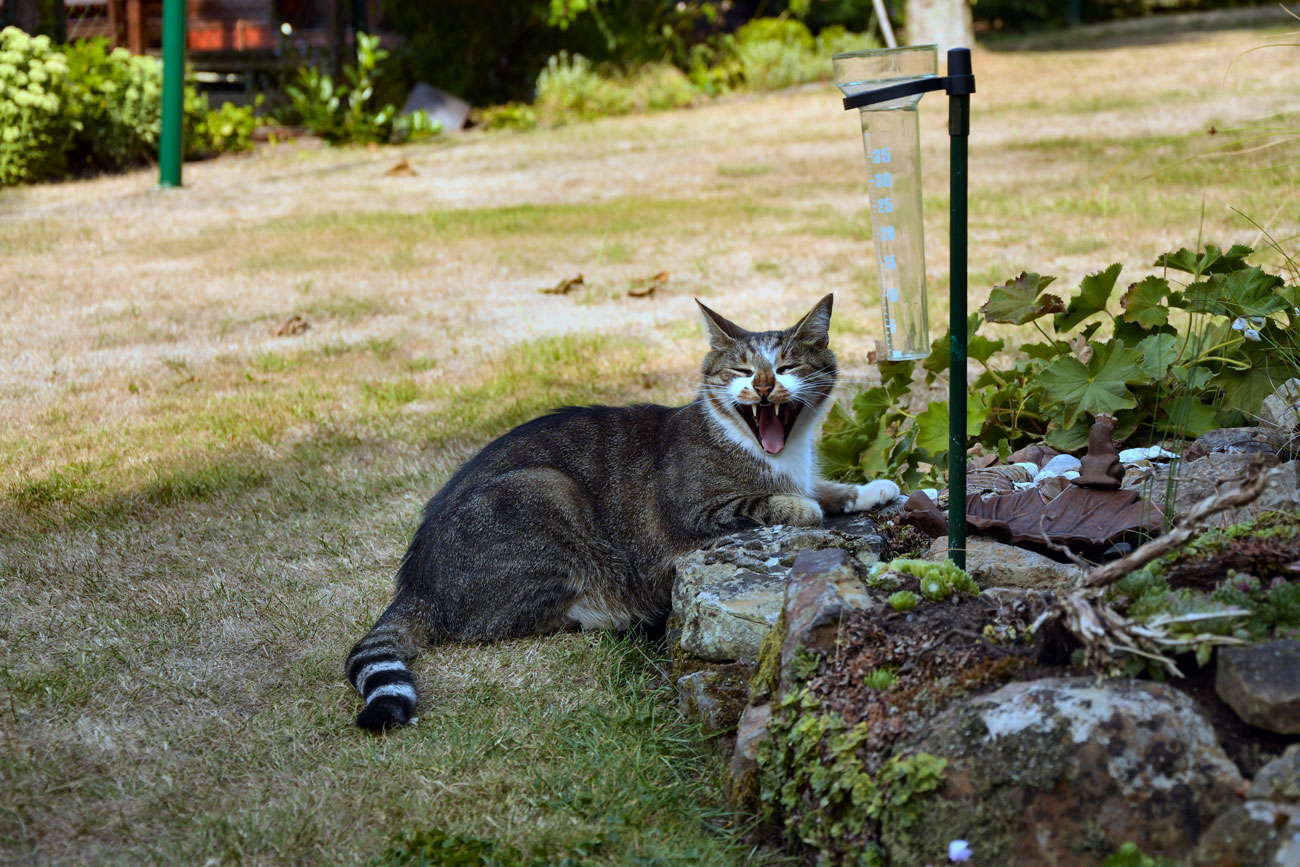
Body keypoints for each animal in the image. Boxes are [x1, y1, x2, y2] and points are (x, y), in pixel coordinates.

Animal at [340, 295, 899, 727]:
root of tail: (414, 582)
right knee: (505, 622)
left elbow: (823, 489)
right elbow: (787, 504)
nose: (763, 388)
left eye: (786, 368)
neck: (774, 453)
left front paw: (868, 490)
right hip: (545, 489)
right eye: (742, 371)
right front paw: (809, 505)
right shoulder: (695, 514)